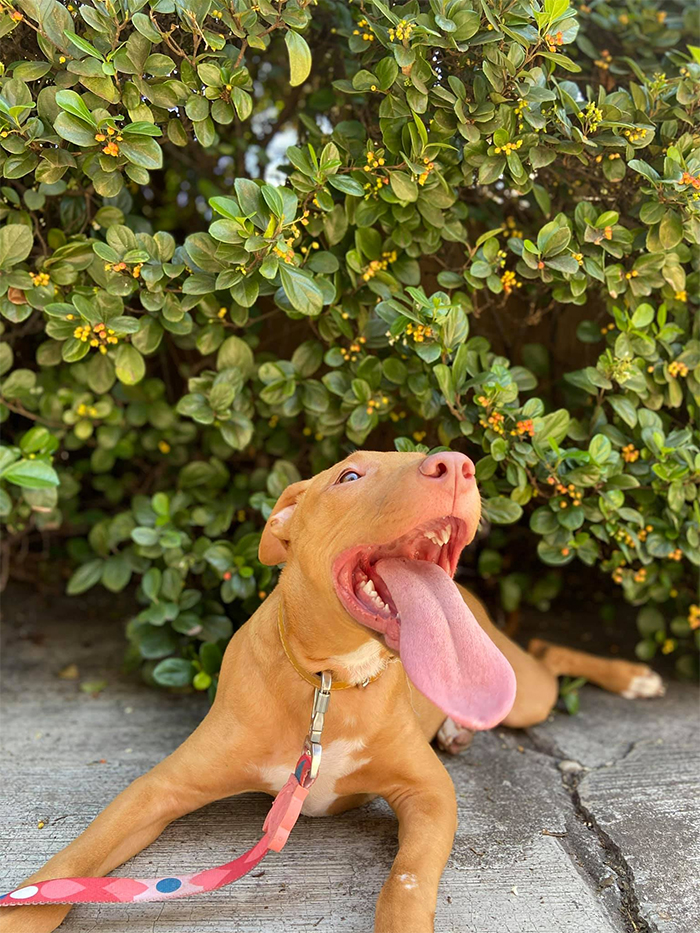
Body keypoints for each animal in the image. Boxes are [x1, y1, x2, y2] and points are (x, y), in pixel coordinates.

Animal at [0, 448, 664, 928]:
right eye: (349, 475)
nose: (459, 464)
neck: (329, 681)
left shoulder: (430, 793)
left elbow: (408, 881)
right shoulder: (155, 791)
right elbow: (68, 864)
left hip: (520, 692)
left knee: (547, 657)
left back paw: (634, 676)